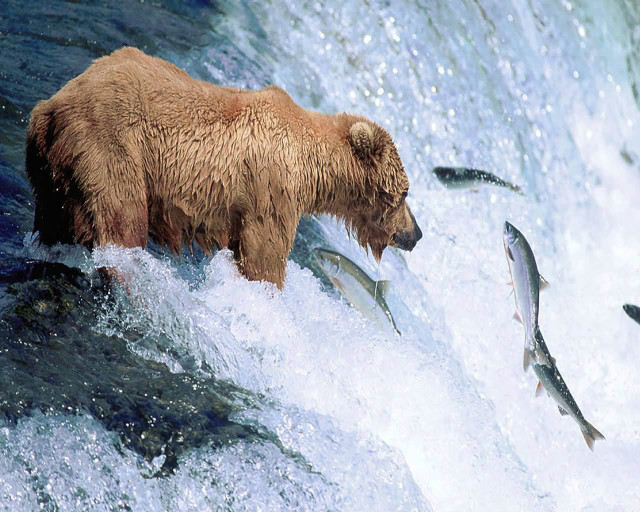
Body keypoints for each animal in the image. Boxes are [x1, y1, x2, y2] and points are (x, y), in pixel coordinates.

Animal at [26, 47, 422, 289]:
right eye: (404, 193)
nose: (415, 233)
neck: (312, 168)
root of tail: (51, 106)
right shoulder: (271, 190)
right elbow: (264, 259)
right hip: (112, 146)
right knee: (122, 222)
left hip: (53, 172)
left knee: (55, 221)